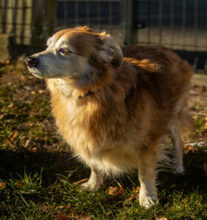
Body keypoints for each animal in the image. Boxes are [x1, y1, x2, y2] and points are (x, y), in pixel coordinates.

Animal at [25, 26, 192, 207]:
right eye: (47, 46)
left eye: (64, 50)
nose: (29, 60)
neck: (87, 95)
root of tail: (166, 49)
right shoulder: (87, 138)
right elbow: (94, 165)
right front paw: (93, 185)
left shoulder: (147, 143)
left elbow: (144, 173)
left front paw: (147, 197)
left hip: (172, 116)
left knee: (178, 141)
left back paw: (178, 167)